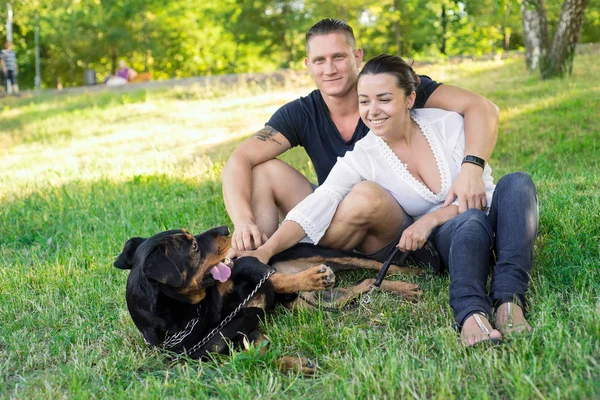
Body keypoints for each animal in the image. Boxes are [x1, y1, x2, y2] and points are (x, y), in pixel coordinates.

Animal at [113, 227, 422, 374]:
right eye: (192, 246)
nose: (226, 229)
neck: (196, 314)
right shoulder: (233, 342)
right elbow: (257, 356)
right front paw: (295, 365)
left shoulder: (249, 264)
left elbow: (275, 279)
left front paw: (310, 277)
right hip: (321, 302)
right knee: (366, 284)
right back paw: (402, 288)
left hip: (324, 254)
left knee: (377, 265)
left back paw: (411, 274)